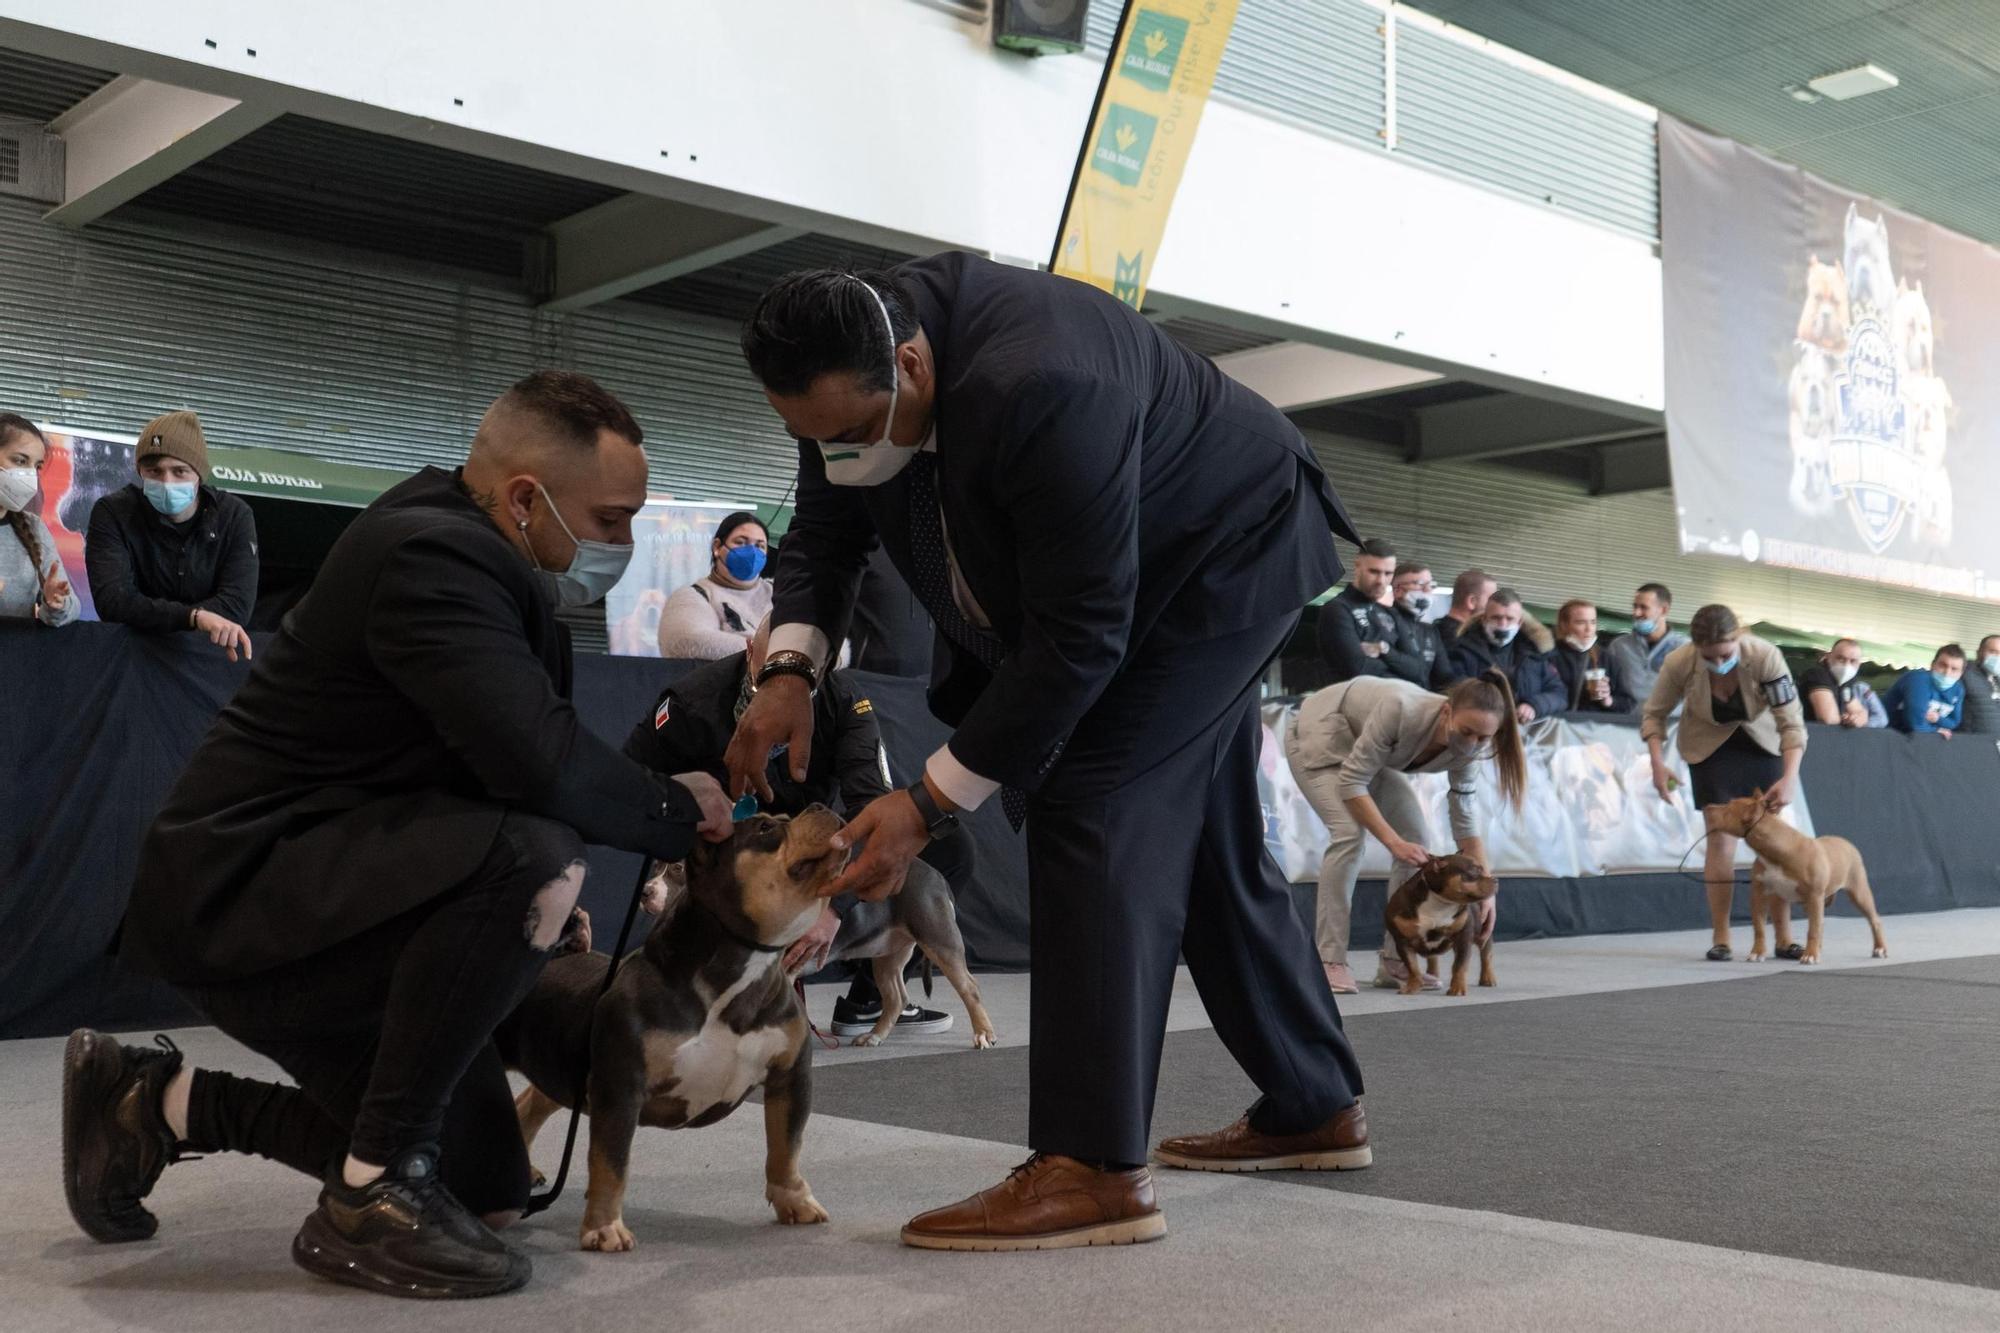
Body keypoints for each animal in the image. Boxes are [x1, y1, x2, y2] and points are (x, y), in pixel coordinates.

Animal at [1384, 856, 1496, 992]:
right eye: (1473, 870)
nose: (1496, 880)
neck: (1440, 902)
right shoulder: (1402, 941)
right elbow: (1412, 966)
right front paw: (1412, 987)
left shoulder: (1463, 937)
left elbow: (1460, 964)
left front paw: (1457, 988)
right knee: (1432, 958)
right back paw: (1432, 975)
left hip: (1483, 933)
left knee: (1486, 955)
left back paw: (1488, 978)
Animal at [1704, 788, 1888, 964]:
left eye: (1727, 808)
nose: (1709, 807)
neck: (1773, 851)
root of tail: (1846, 843)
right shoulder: (1759, 895)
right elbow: (1759, 928)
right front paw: (1757, 952)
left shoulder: (1814, 896)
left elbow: (1812, 929)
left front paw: (1810, 956)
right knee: (1820, 924)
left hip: (1857, 891)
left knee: (1874, 920)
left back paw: (1879, 948)